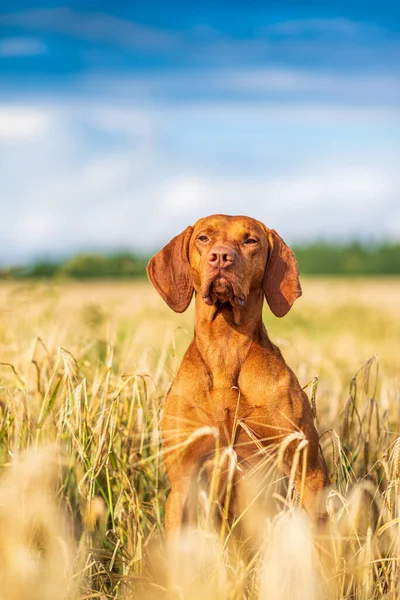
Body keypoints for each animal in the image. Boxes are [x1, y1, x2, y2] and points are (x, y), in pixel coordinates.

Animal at [147, 213, 328, 532]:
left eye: (250, 240)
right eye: (203, 238)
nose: (221, 256)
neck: (226, 346)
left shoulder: (307, 470)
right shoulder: (182, 482)